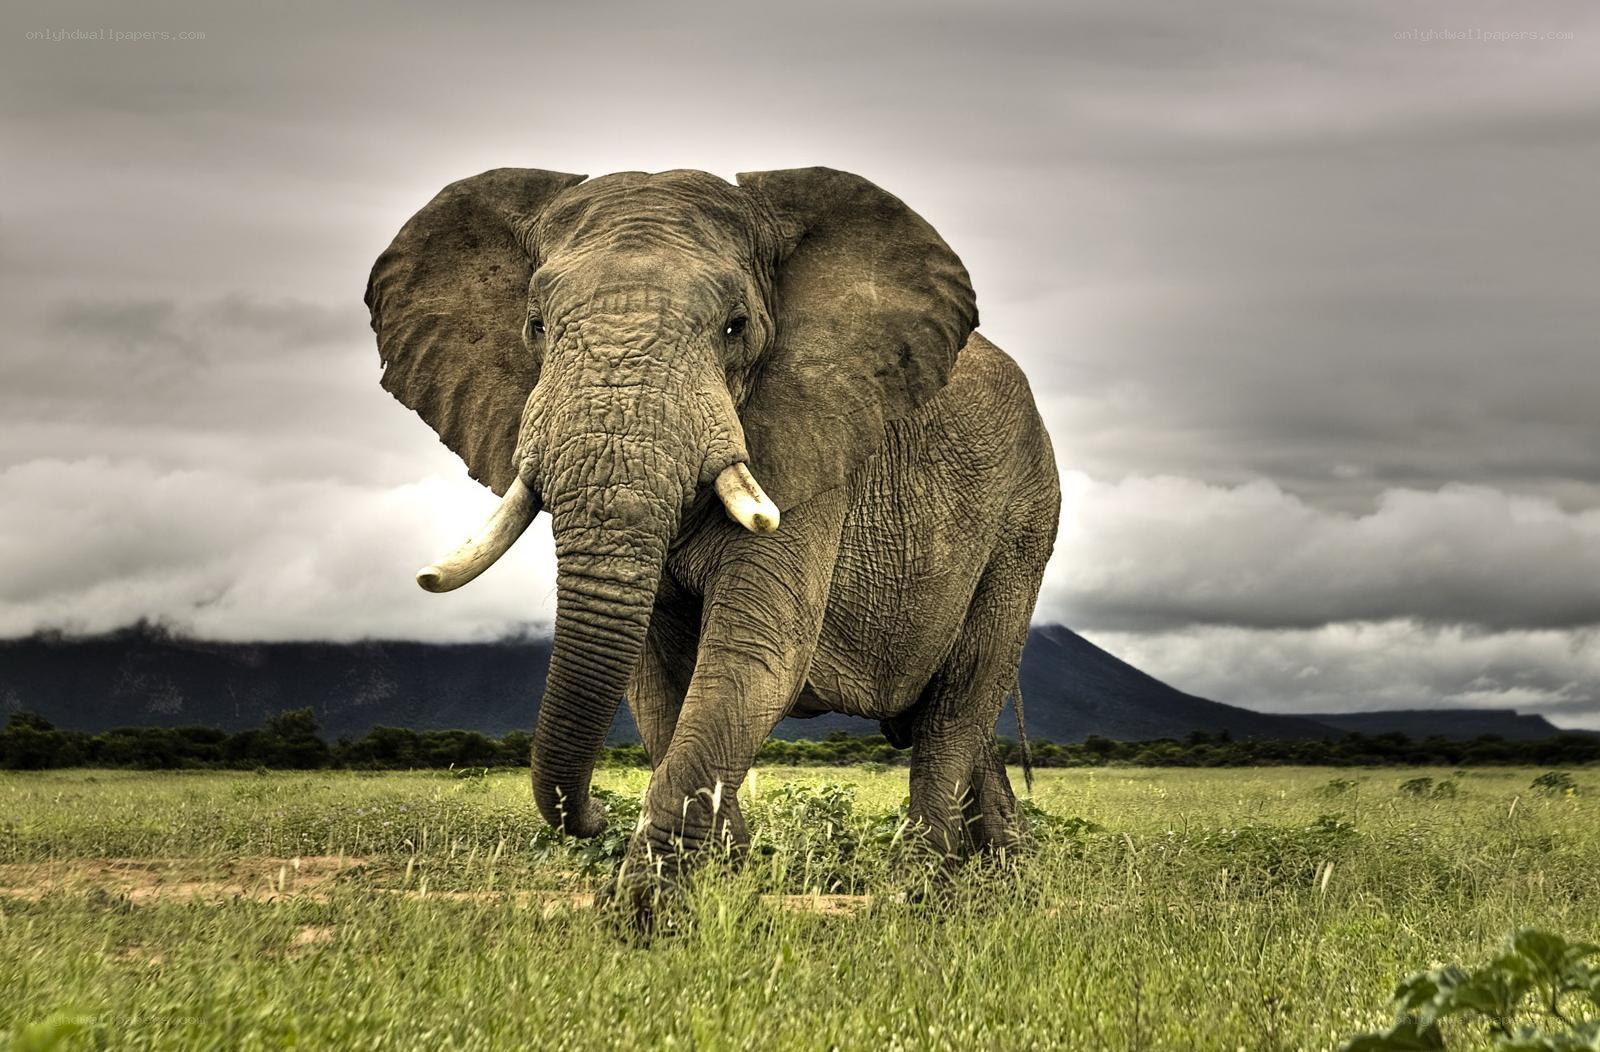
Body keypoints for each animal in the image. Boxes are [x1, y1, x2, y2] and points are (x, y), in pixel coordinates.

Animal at [366, 166, 1060, 918]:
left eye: (736, 327)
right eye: (536, 326)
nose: (594, 816)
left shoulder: (811, 450)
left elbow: (753, 655)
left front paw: (645, 918)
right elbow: (656, 680)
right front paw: (723, 887)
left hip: (1025, 521)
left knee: (956, 709)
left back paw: (924, 899)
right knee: (952, 721)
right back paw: (1007, 884)